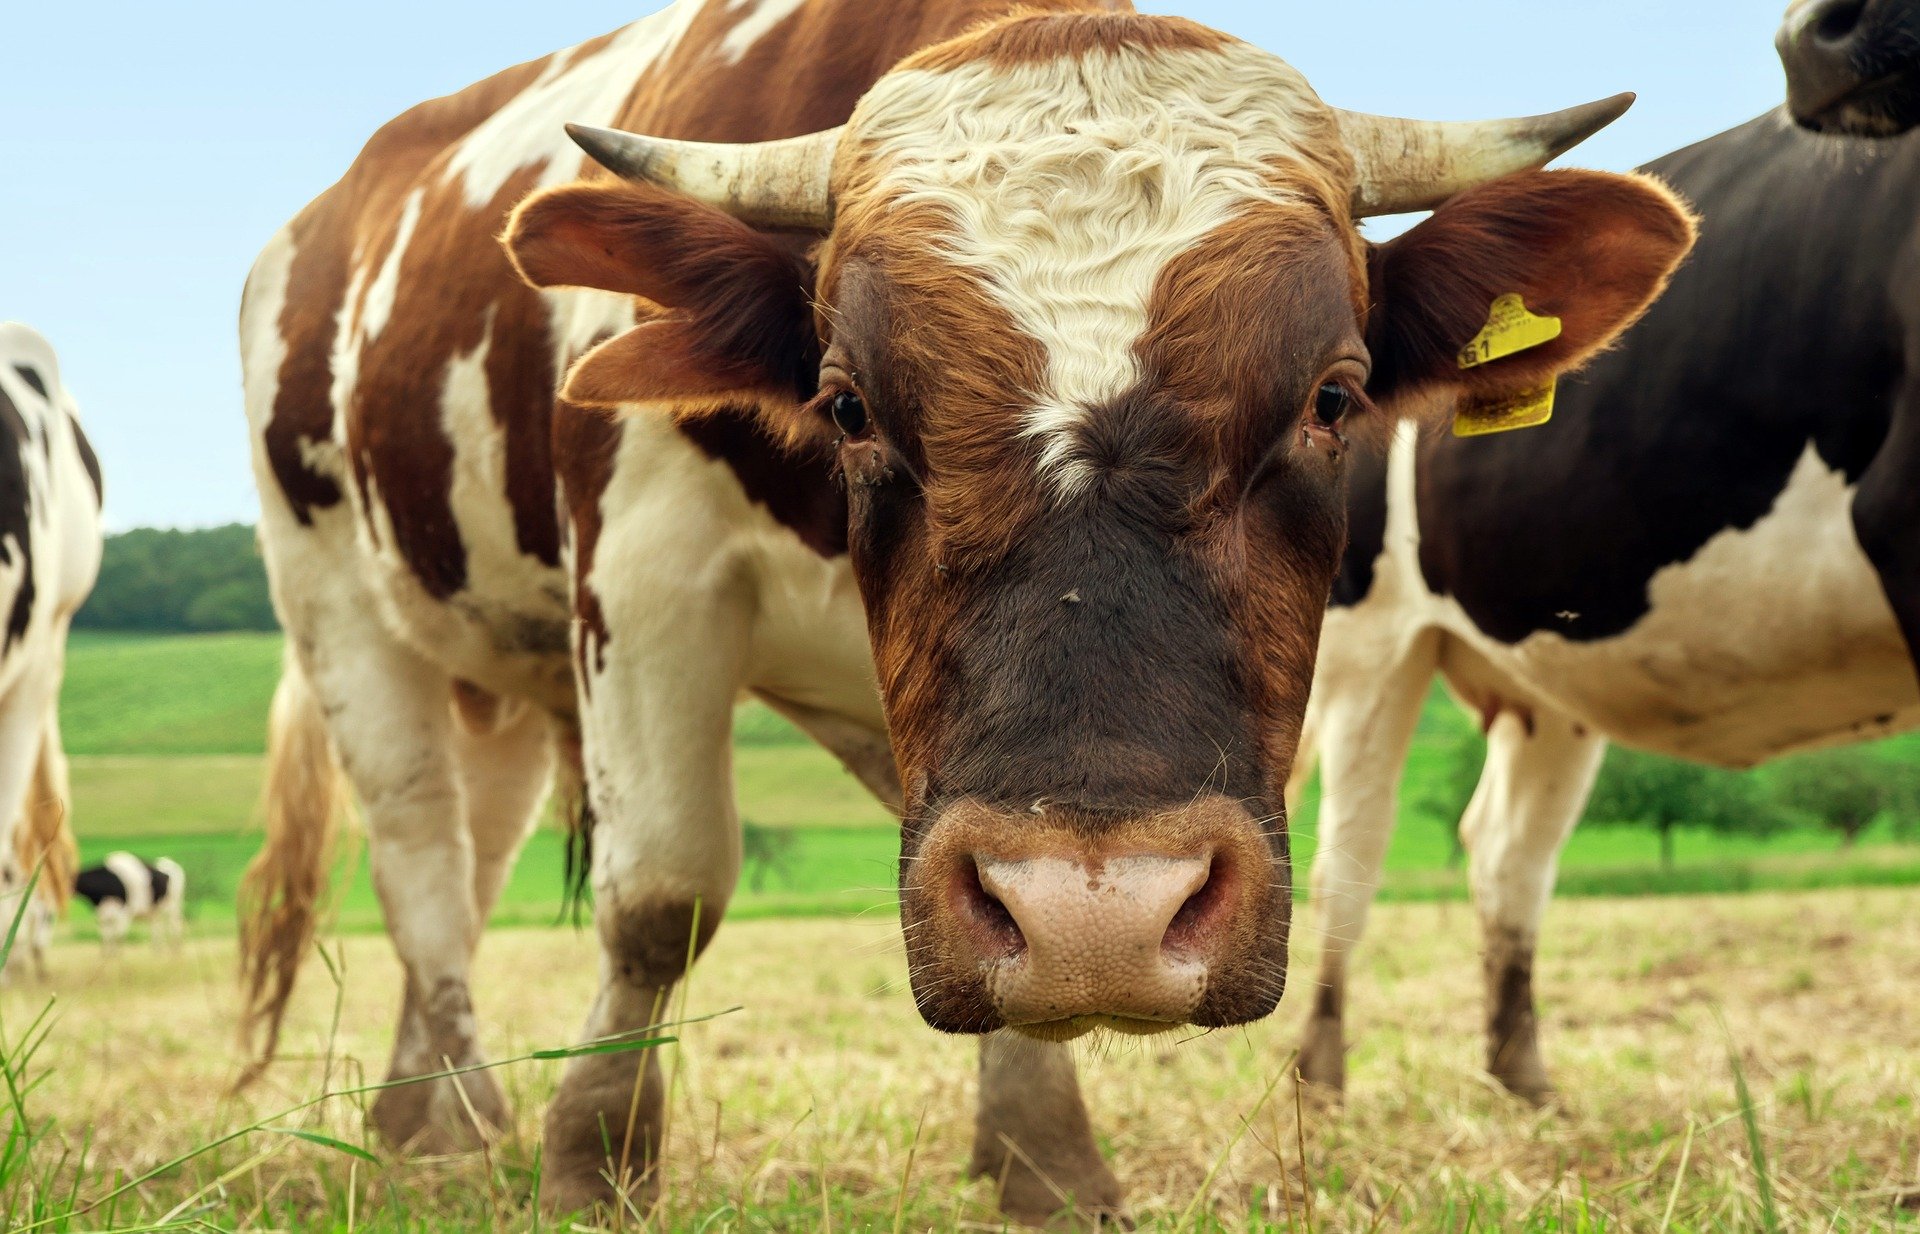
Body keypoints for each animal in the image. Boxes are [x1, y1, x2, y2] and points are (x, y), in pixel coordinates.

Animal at [232, 0, 1689, 1212]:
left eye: (1334, 397)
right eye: (847, 403)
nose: (1106, 920)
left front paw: (1044, 1157)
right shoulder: (647, 574)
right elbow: (662, 894)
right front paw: (595, 1161)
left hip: (498, 681)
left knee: (470, 857)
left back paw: (419, 1115)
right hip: (340, 607)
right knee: (419, 857)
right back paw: (466, 1118)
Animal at [1290, 108, 1920, 1113]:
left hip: (1546, 672)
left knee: (1506, 852)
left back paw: (1524, 1084)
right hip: (1369, 645)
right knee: (1349, 857)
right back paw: (1322, 1082)